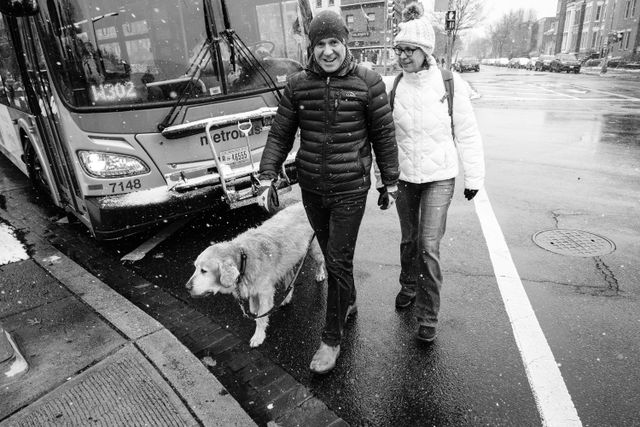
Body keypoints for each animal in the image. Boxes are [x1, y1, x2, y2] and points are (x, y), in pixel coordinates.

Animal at [185, 202, 324, 346]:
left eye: (204, 271)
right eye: (195, 267)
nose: (187, 287)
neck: (243, 259)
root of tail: (300, 203)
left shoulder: (265, 292)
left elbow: (261, 318)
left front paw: (258, 336)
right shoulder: (252, 287)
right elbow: (253, 308)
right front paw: (255, 309)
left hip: (314, 249)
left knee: (320, 262)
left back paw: (320, 274)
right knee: (290, 278)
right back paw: (286, 298)